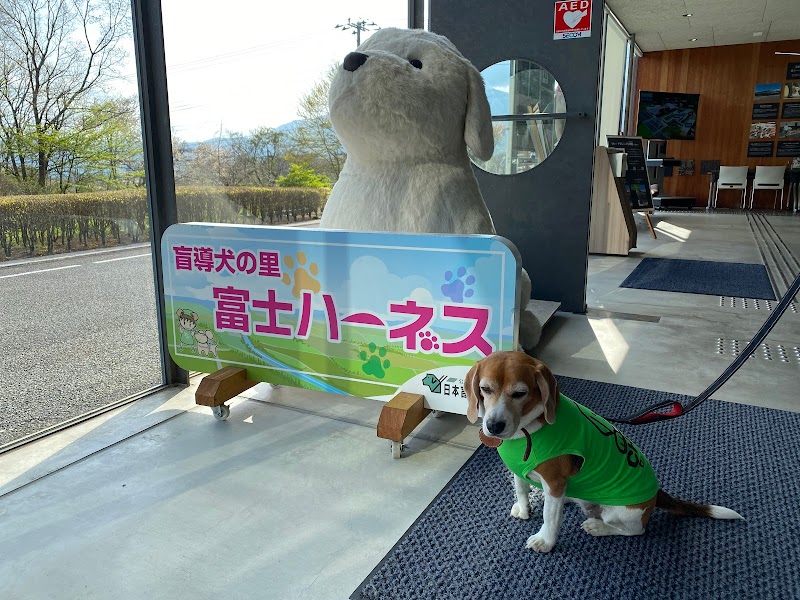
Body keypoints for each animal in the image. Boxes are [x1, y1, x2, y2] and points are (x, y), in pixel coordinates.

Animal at [462, 352, 744, 552]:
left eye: (520, 393)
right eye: (486, 389)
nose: (493, 426)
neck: (527, 429)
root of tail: (655, 495)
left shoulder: (554, 481)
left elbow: (549, 517)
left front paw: (545, 541)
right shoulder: (520, 471)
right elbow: (521, 488)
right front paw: (522, 508)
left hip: (620, 511)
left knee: (634, 531)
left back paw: (598, 526)